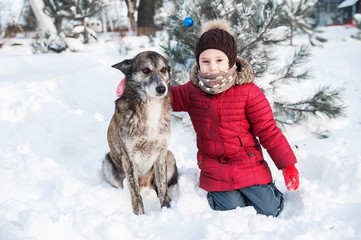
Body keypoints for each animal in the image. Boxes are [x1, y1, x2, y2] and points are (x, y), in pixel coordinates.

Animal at [102, 51, 178, 216]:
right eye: (145, 70)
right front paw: (139, 215)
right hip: (107, 163)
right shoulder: (128, 157)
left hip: (170, 156)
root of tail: (146, 185)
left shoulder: (161, 153)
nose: (162, 89)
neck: (151, 106)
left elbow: (163, 186)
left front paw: (166, 208)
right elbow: (135, 193)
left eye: (163, 69)